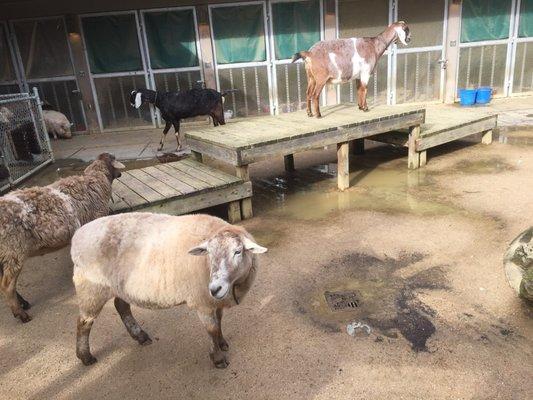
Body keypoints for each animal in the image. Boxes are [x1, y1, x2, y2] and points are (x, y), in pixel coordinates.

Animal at [0, 152, 124, 324]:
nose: (121, 173)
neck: (95, 180)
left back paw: (23, 304)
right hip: (13, 249)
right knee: (6, 286)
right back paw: (21, 314)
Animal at [70, 212, 266, 368]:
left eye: (238, 251)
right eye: (209, 253)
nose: (215, 288)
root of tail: (77, 236)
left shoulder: (213, 301)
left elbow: (218, 323)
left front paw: (222, 342)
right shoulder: (202, 301)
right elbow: (212, 329)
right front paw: (217, 358)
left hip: (120, 286)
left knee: (121, 306)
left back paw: (140, 336)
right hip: (91, 288)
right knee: (83, 322)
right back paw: (85, 356)